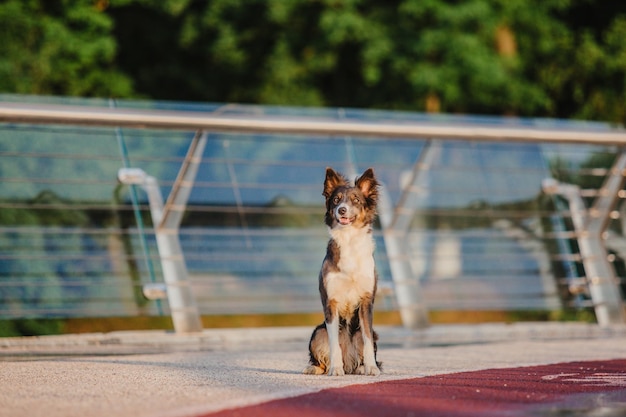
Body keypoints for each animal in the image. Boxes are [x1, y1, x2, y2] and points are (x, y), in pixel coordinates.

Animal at [302, 167, 380, 376]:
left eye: (356, 200)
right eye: (336, 200)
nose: (341, 210)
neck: (349, 239)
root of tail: (349, 361)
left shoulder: (366, 301)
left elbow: (367, 341)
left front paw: (371, 367)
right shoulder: (331, 302)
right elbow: (333, 343)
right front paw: (335, 369)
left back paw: (361, 367)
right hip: (317, 332)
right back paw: (316, 368)